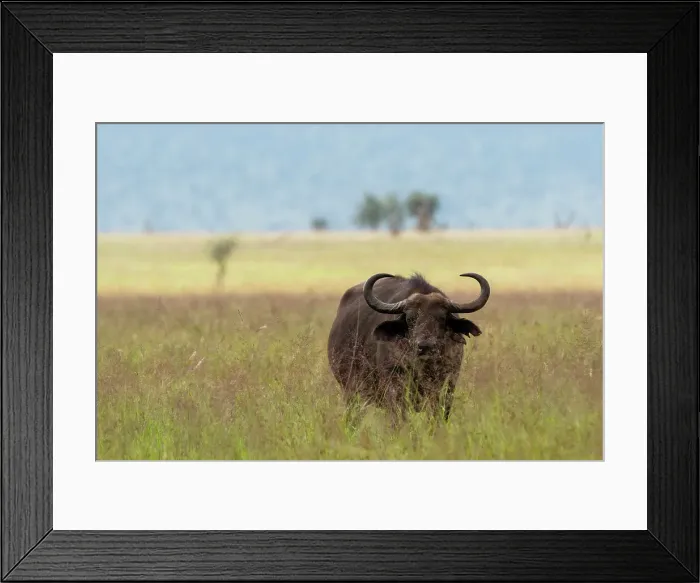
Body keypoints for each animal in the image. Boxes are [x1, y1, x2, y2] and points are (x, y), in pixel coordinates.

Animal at [327, 271, 490, 423]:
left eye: (442, 318)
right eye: (410, 319)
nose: (424, 346)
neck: (423, 367)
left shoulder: (447, 386)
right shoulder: (394, 388)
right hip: (351, 392)